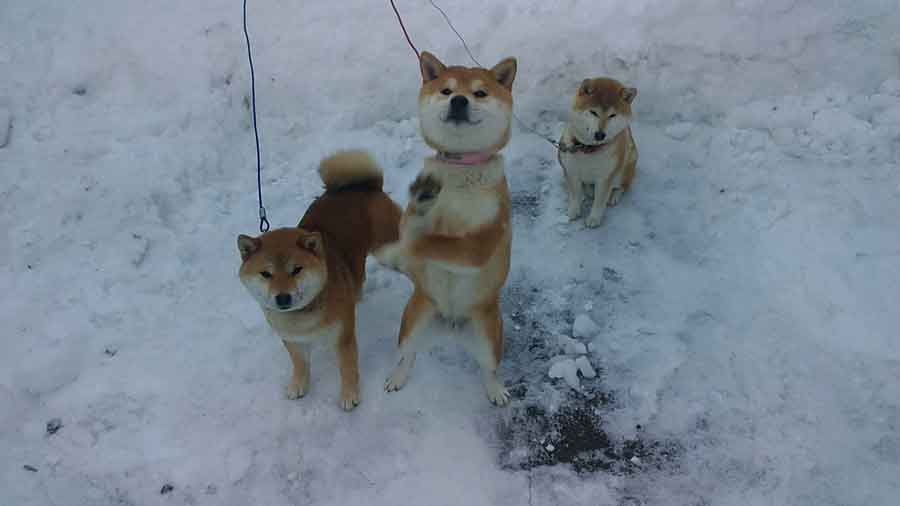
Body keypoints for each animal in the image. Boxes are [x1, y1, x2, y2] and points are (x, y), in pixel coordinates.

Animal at [237, 151, 400, 412]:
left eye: (296, 270)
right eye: (266, 274)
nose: (283, 298)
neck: (302, 317)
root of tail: (368, 185)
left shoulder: (343, 337)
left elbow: (347, 368)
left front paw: (349, 395)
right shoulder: (293, 341)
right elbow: (300, 365)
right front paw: (299, 385)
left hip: (389, 246)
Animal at [376, 52, 516, 408]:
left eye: (480, 93)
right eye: (446, 90)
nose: (459, 100)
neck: (459, 171)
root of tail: (451, 326)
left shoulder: (482, 242)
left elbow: (435, 243)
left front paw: (402, 250)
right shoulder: (413, 215)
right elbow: (415, 225)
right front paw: (422, 201)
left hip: (489, 334)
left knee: (488, 369)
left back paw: (496, 390)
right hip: (412, 322)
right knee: (408, 355)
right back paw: (397, 377)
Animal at [560, 77, 636, 227]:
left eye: (613, 115)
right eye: (593, 112)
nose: (600, 134)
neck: (588, 149)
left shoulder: (605, 178)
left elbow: (599, 201)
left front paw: (594, 218)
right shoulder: (571, 171)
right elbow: (575, 195)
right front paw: (574, 211)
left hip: (625, 167)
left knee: (623, 186)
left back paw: (614, 196)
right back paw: (589, 190)